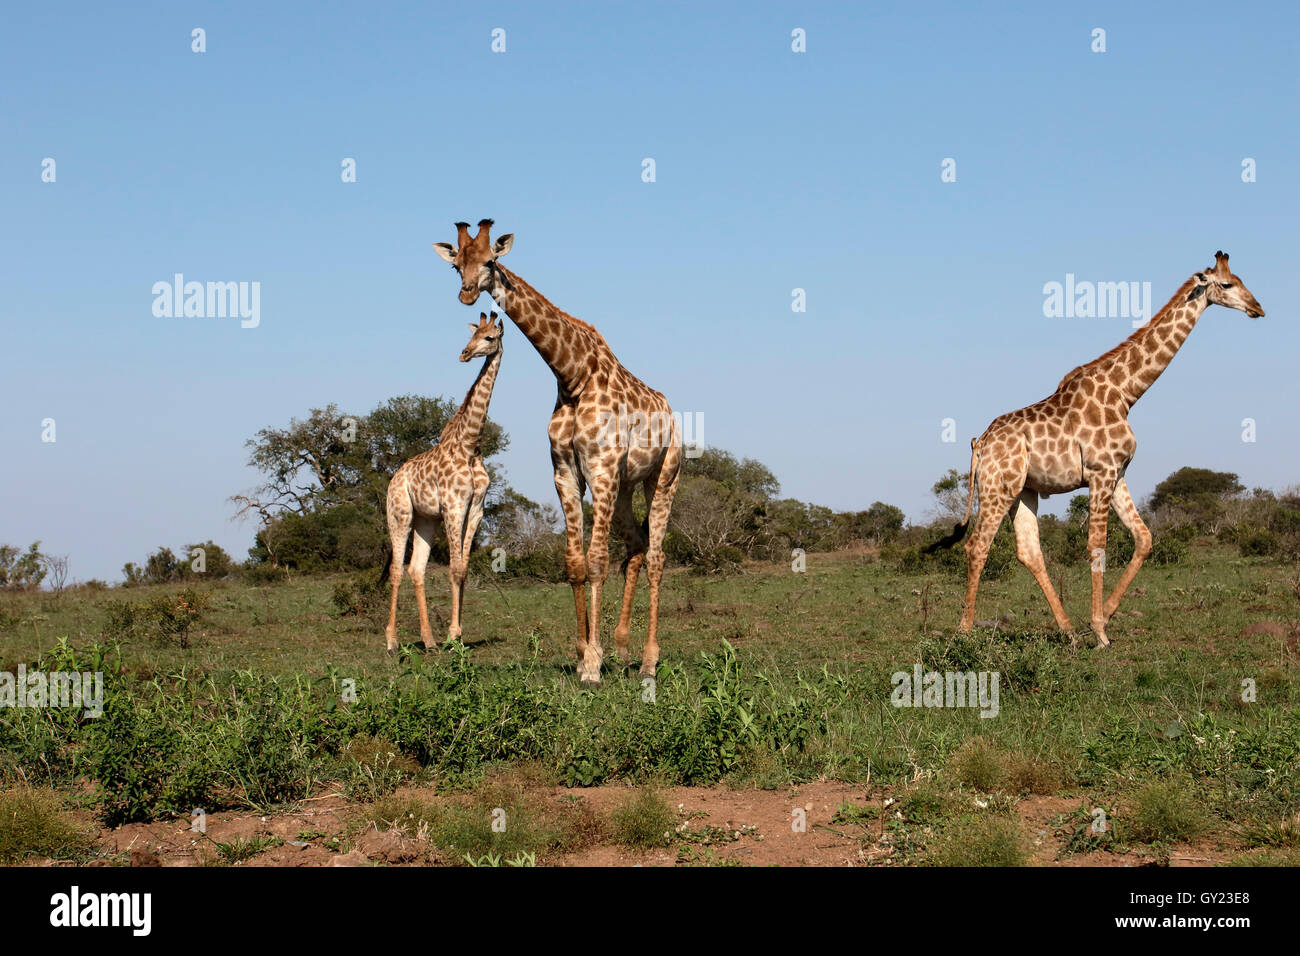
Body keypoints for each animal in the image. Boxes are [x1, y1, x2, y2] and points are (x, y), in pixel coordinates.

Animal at [381, 312, 502, 653]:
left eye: (489, 337)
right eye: (474, 334)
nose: (464, 353)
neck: (470, 444)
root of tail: (393, 479)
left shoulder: (475, 509)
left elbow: (462, 568)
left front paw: (456, 634)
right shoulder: (453, 506)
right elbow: (454, 568)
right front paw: (452, 633)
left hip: (426, 520)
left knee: (416, 569)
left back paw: (428, 640)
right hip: (400, 514)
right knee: (396, 570)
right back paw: (392, 641)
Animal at [433, 219, 682, 686]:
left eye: (490, 261)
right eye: (456, 265)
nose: (467, 294)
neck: (572, 376)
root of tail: (673, 414)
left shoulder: (601, 469)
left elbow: (597, 560)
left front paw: (593, 666)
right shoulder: (566, 471)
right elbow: (574, 563)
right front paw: (586, 652)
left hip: (664, 477)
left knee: (657, 555)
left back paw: (649, 661)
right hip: (626, 487)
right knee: (637, 546)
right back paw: (624, 649)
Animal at [927, 252, 1264, 647]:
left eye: (1240, 279)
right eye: (1227, 284)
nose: (1258, 308)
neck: (1125, 393)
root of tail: (979, 444)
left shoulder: (1117, 474)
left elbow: (1144, 538)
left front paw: (1106, 615)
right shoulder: (1100, 472)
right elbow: (1097, 545)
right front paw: (1100, 630)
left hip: (1023, 491)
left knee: (1029, 551)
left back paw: (1069, 630)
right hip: (998, 488)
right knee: (977, 546)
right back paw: (964, 631)